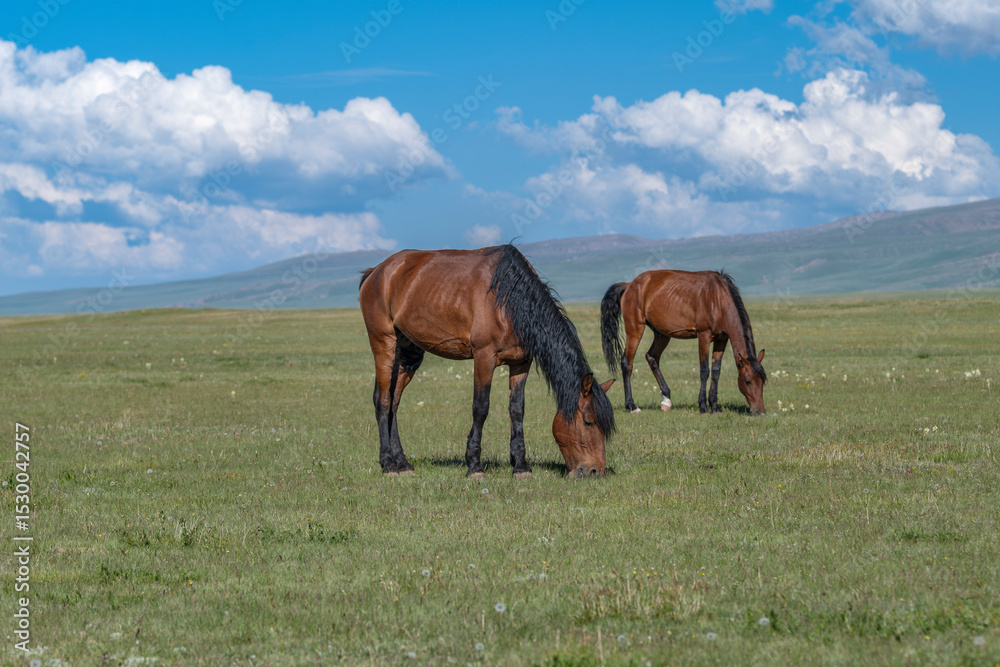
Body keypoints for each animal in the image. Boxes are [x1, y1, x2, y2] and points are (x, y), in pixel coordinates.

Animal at [359, 244, 615, 479]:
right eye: (589, 422)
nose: (595, 471)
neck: (510, 302)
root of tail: (376, 272)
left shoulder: (521, 363)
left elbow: (517, 410)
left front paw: (521, 466)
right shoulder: (484, 358)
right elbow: (481, 408)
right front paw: (474, 466)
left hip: (408, 354)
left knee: (394, 401)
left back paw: (402, 463)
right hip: (383, 342)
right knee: (383, 401)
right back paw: (389, 464)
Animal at [600, 270, 766, 415]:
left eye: (763, 381)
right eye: (748, 381)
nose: (759, 411)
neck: (718, 298)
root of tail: (630, 285)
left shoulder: (721, 339)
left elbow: (716, 371)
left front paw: (715, 406)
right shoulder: (704, 336)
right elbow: (704, 370)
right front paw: (703, 406)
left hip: (662, 334)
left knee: (652, 357)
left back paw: (667, 400)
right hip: (635, 329)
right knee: (627, 363)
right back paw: (632, 406)